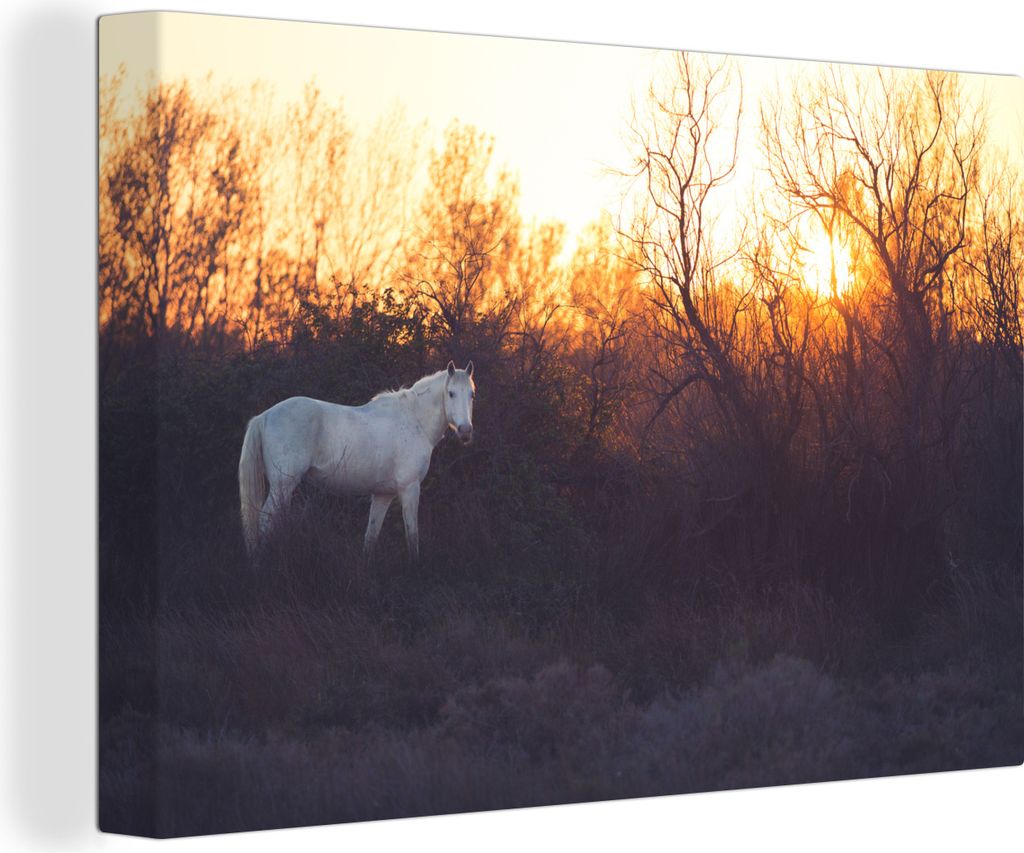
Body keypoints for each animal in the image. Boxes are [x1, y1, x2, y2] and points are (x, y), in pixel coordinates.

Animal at [239, 361, 475, 562]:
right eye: (451, 393)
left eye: (472, 394)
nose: (465, 431)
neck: (415, 420)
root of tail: (265, 416)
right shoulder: (410, 489)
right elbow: (412, 534)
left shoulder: (383, 495)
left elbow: (371, 535)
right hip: (282, 486)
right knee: (265, 521)